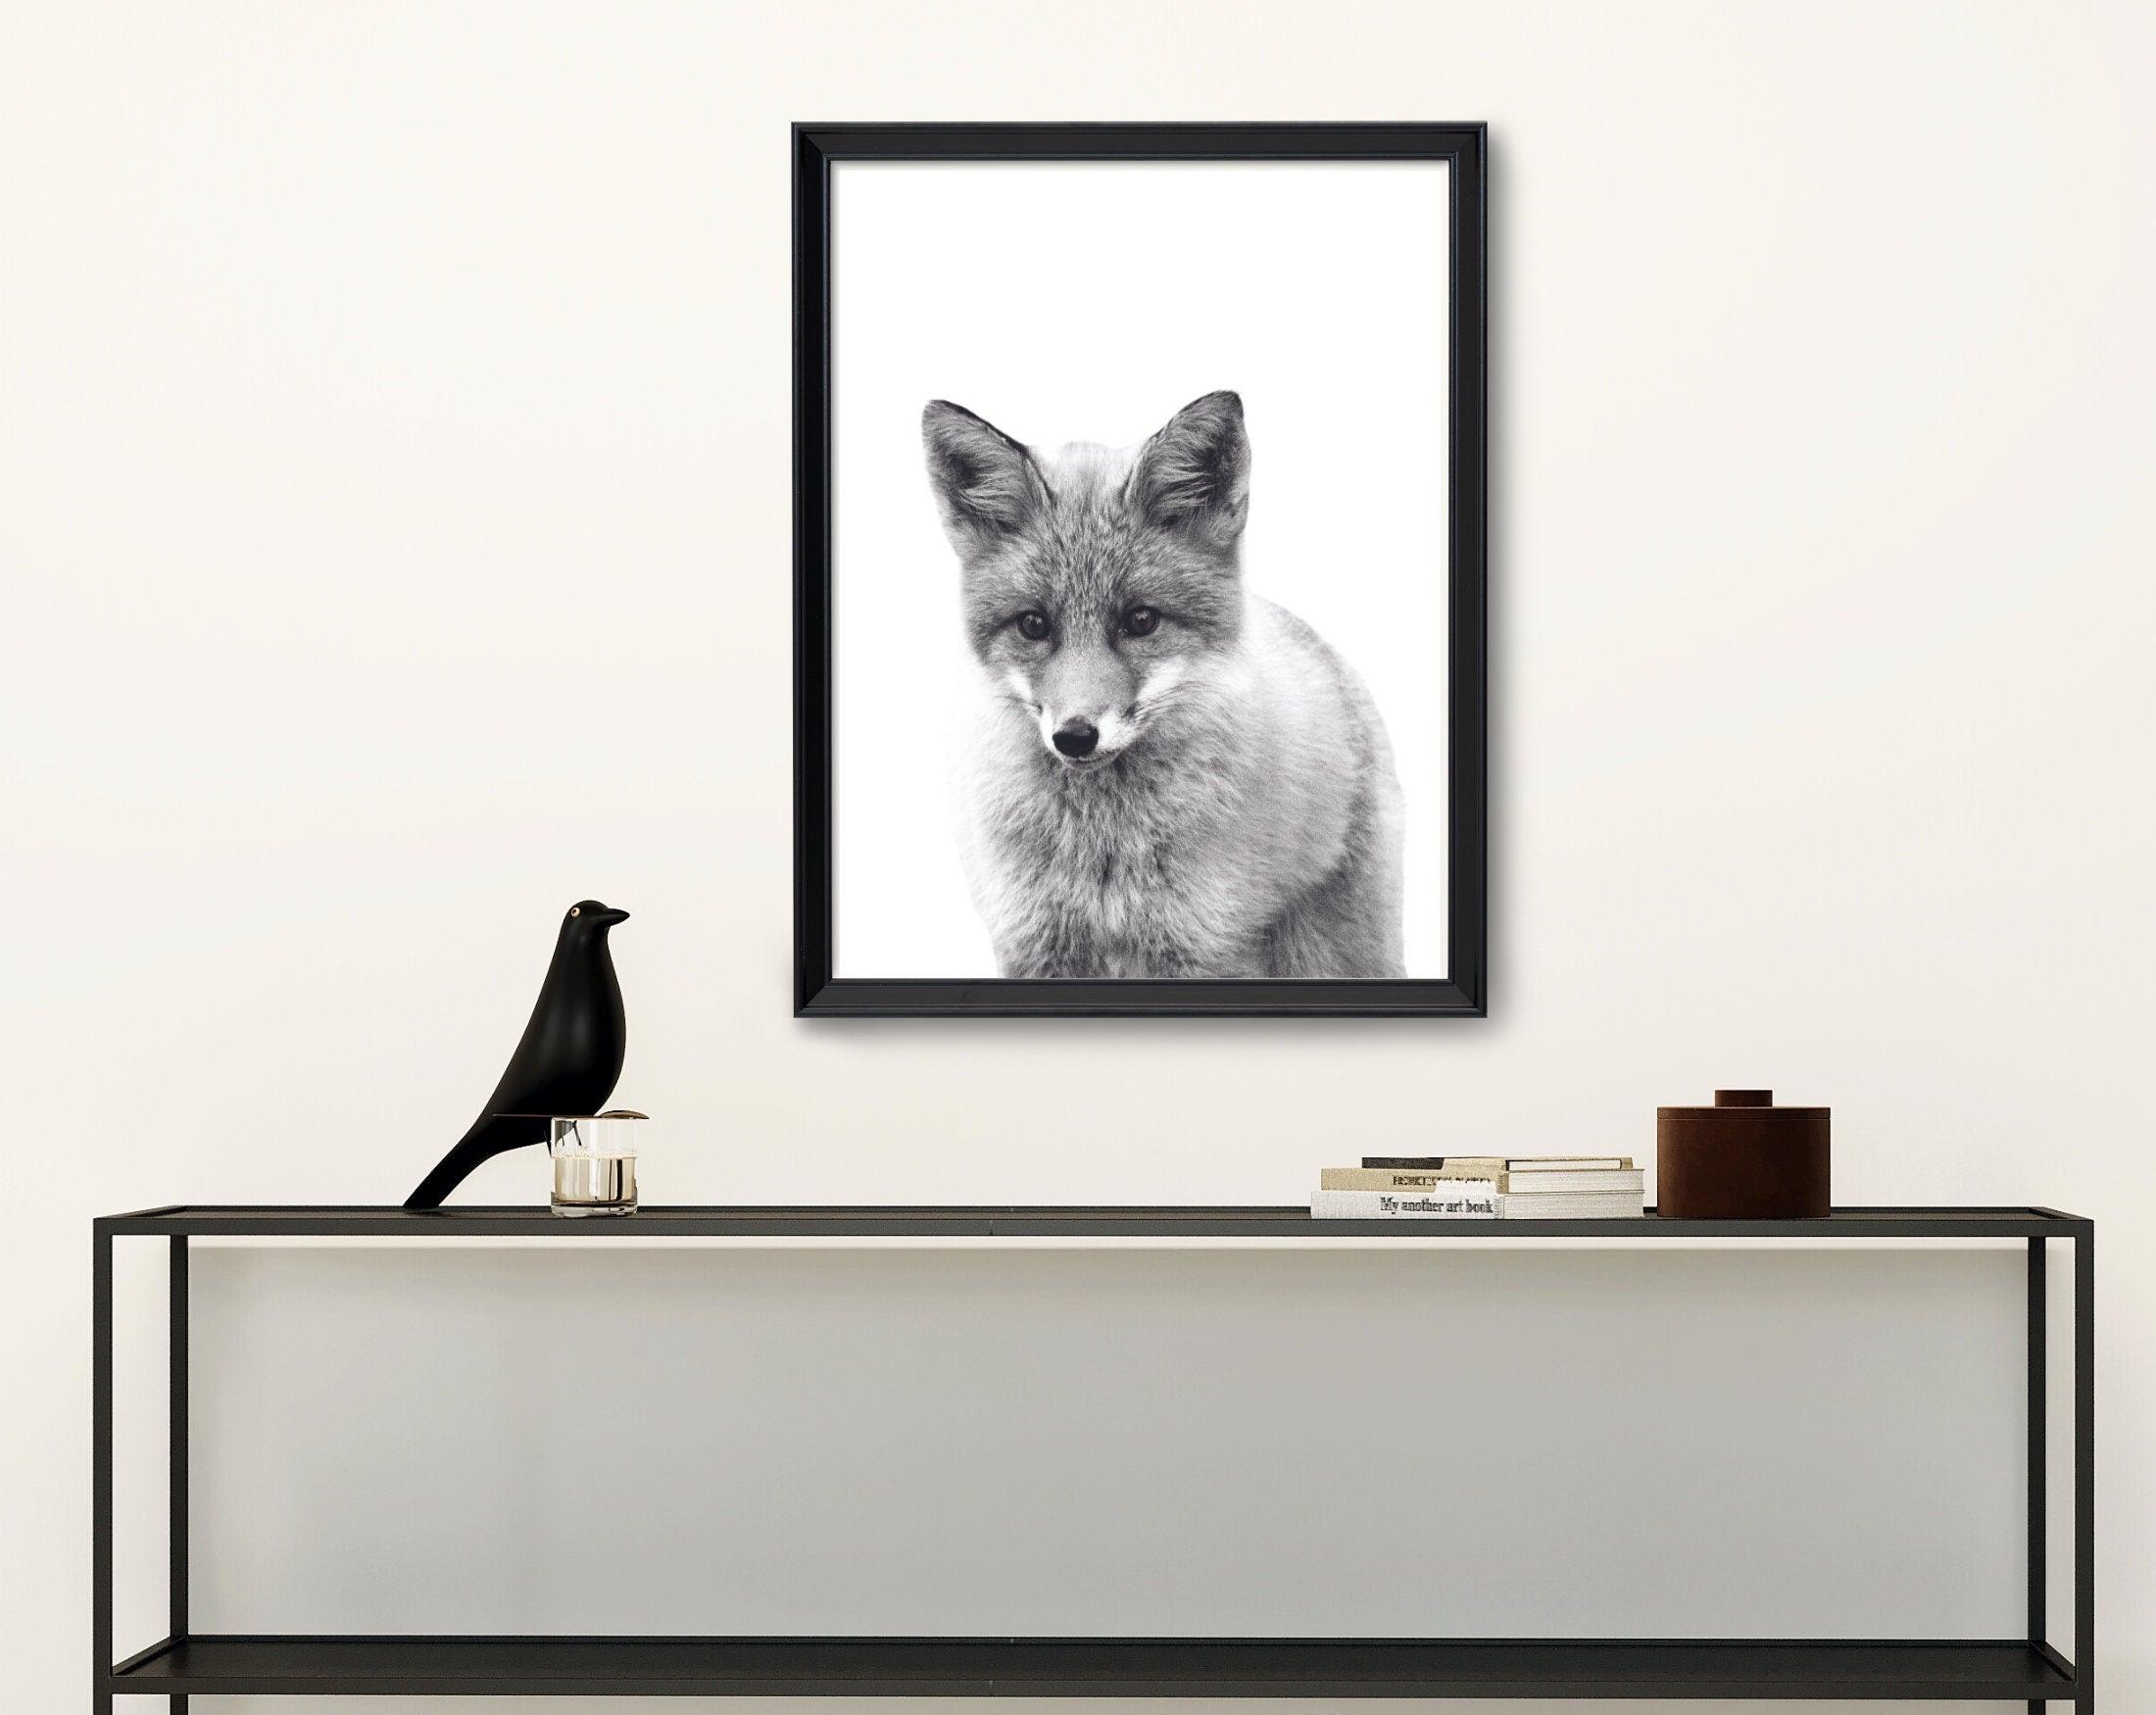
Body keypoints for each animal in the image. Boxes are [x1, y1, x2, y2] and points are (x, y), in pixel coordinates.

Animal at [922, 390, 1406, 980]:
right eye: (1034, 624)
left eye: (1141, 620)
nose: (1075, 737)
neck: (1102, 847)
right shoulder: (1036, 945)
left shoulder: (1205, 946)